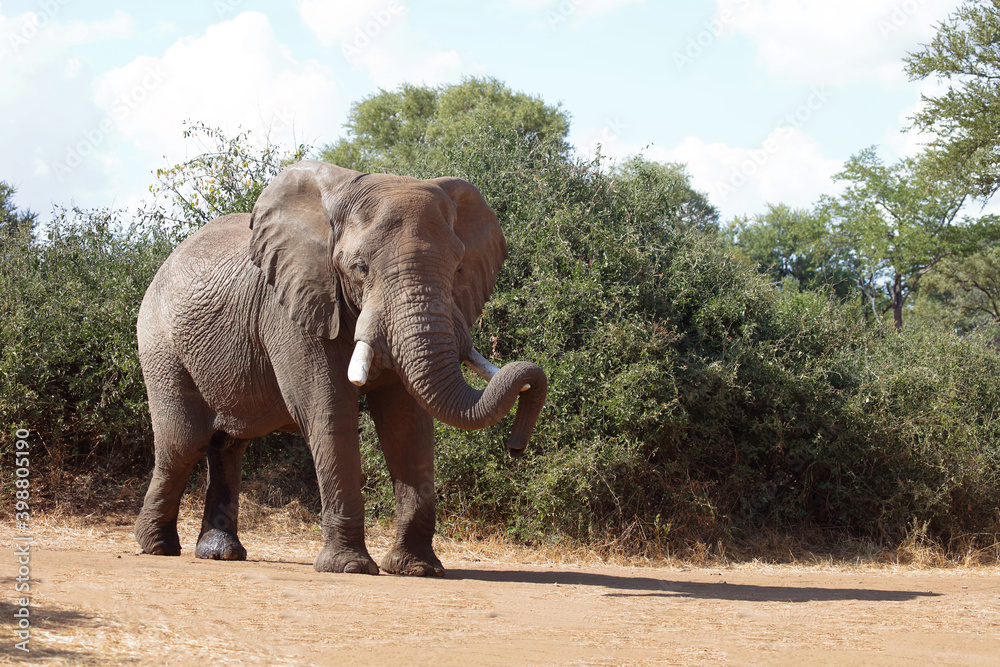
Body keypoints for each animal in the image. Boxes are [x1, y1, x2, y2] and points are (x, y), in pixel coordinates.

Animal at [134, 160, 547, 577]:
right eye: (359, 267)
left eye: (459, 268)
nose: (515, 447)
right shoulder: (292, 308)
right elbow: (329, 410)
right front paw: (348, 567)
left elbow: (406, 422)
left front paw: (417, 569)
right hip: (160, 344)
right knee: (183, 442)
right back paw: (156, 547)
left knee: (227, 444)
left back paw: (220, 553)